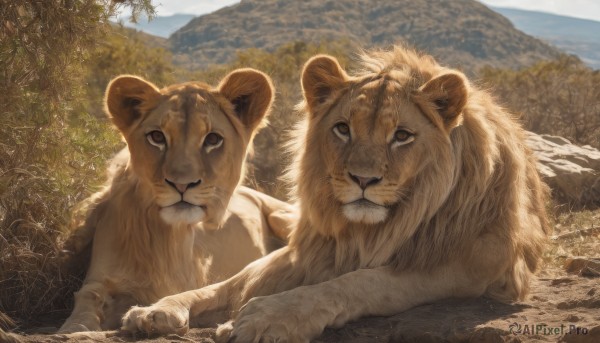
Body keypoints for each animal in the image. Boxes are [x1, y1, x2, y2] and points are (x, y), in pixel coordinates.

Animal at [58, 68, 298, 334]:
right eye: (156, 137)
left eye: (212, 139)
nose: (182, 184)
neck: (163, 237)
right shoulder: (99, 277)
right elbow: (87, 299)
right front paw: (76, 326)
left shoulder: (189, 280)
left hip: (281, 216)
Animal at [120, 46, 548, 343]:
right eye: (343, 129)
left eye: (402, 136)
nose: (362, 179)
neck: (369, 230)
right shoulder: (308, 250)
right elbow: (229, 284)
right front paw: (160, 309)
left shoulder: (473, 264)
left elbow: (361, 282)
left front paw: (266, 316)